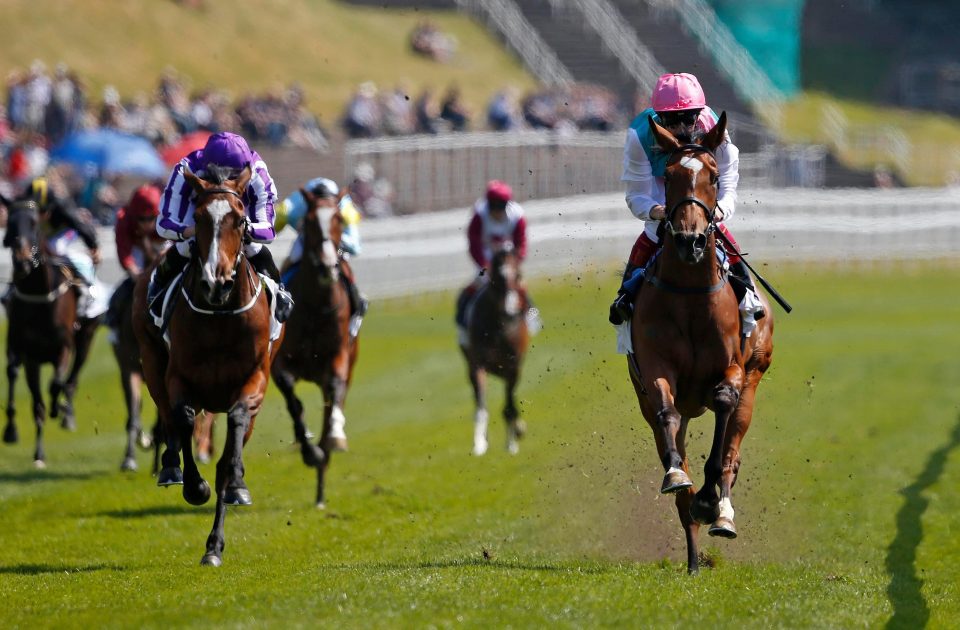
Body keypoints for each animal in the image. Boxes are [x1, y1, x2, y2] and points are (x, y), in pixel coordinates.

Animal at [0, 195, 101, 466]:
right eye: (9, 223)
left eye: (34, 223)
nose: (22, 262)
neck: (39, 298)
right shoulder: (29, 355)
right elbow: (37, 403)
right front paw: (38, 453)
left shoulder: (63, 346)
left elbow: (56, 384)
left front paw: (59, 409)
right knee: (13, 372)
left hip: (86, 338)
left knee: (73, 378)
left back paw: (67, 414)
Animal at [132, 167, 282, 568]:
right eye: (198, 218)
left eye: (240, 219)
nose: (216, 282)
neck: (219, 316)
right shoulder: (177, 378)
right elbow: (182, 418)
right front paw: (194, 486)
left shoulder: (255, 380)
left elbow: (231, 447)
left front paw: (235, 490)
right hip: (151, 361)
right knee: (170, 419)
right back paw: (171, 467)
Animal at [272, 186, 358, 508]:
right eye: (308, 222)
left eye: (338, 219)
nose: (326, 266)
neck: (316, 305)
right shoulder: (280, 363)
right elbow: (293, 401)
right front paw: (309, 450)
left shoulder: (337, 359)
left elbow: (334, 393)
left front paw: (331, 440)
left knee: (334, 402)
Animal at [460, 247, 528, 460]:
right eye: (496, 277)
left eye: (518, 275)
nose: (510, 310)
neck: (499, 325)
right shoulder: (477, 365)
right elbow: (481, 407)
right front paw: (480, 444)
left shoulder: (513, 367)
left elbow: (509, 407)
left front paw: (512, 443)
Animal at [628, 111, 776, 576]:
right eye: (670, 175)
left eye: (712, 174)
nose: (690, 240)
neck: (691, 293)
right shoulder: (655, 367)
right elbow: (667, 414)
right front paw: (680, 478)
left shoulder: (733, 367)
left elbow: (725, 407)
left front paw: (714, 499)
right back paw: (694, 555)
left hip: (755, 379)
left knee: (732, 448)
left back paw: (721, 511)